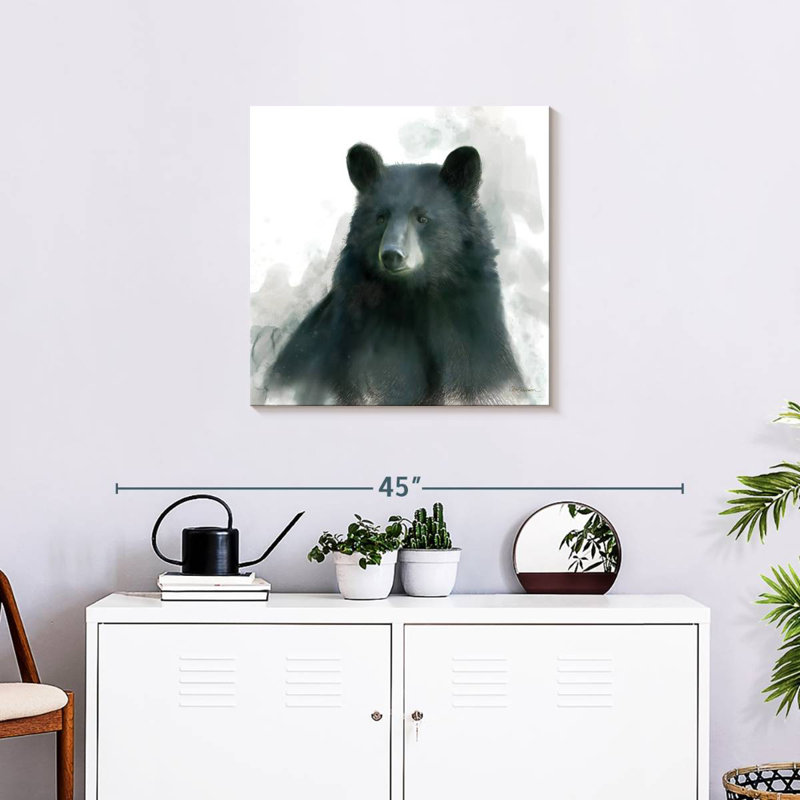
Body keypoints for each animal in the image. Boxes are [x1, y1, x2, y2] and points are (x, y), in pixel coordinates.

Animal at [266, 143, 525, 405]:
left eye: (423, 218)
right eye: (381, 217)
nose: (392, 254)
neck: (414, 296)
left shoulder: (471, 330)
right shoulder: (364, 339)